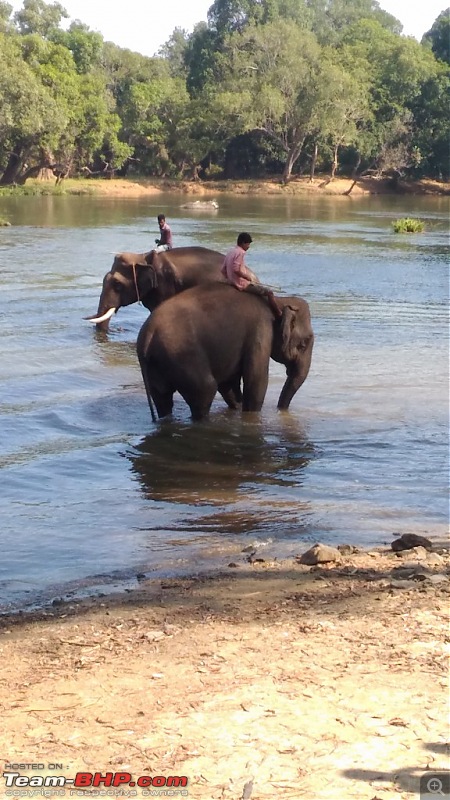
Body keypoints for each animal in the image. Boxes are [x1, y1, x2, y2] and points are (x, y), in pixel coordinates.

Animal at [135, 282, 314, 422]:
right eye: (304, 344)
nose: (281, 411)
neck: (278, 301)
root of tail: (148, 333)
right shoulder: (261, 330)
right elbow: (256, 379)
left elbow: (229, 383)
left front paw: (238, 407)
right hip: (181, 355)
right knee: (205, 390)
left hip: (156, 365)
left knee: (163, 398)